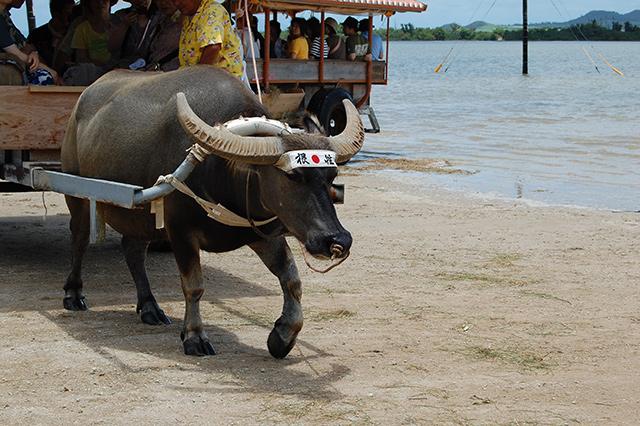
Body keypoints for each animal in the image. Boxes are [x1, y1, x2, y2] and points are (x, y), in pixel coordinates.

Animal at [62, 65, 362, 356]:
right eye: (292, 176)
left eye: (332, 175)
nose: (337, 239)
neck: (222, 171)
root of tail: (81, 104)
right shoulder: (180, 233)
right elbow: (194, 286)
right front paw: (195, 336)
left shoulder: (260, 233)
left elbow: (291, 279)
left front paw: (283, 337)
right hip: (76, 195)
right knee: (79, 239)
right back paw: (73, 294)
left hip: (142, 216)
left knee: (132, 250)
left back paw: (149, 306)